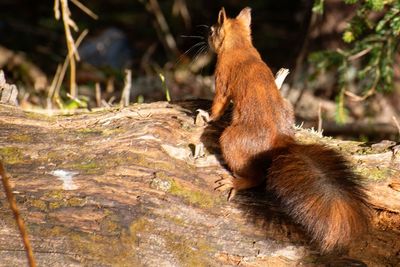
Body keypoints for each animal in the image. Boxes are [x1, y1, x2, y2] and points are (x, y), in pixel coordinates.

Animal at [208, 6, 370, 253]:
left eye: (212, 30)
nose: (207, 38)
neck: (241, 46)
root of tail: (281, 142)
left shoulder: (222, 79)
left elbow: (218, 103)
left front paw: (206, 117)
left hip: (232, 142)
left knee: (258, 178)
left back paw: (236, 182)